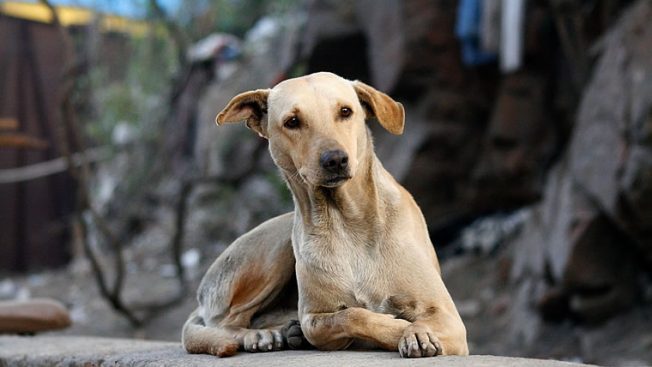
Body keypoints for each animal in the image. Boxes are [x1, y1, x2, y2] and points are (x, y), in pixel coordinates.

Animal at [182, 72, 468, 360]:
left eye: (345, 111)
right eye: (292, 121)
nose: (335, 160)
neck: (346, 222)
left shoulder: (448, 316)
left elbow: (421, 320)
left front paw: (417, 332)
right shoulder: (314, 318)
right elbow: (350, 316)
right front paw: (399, 328)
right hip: (273, 251)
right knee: (226, 322)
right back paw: (263, 335)